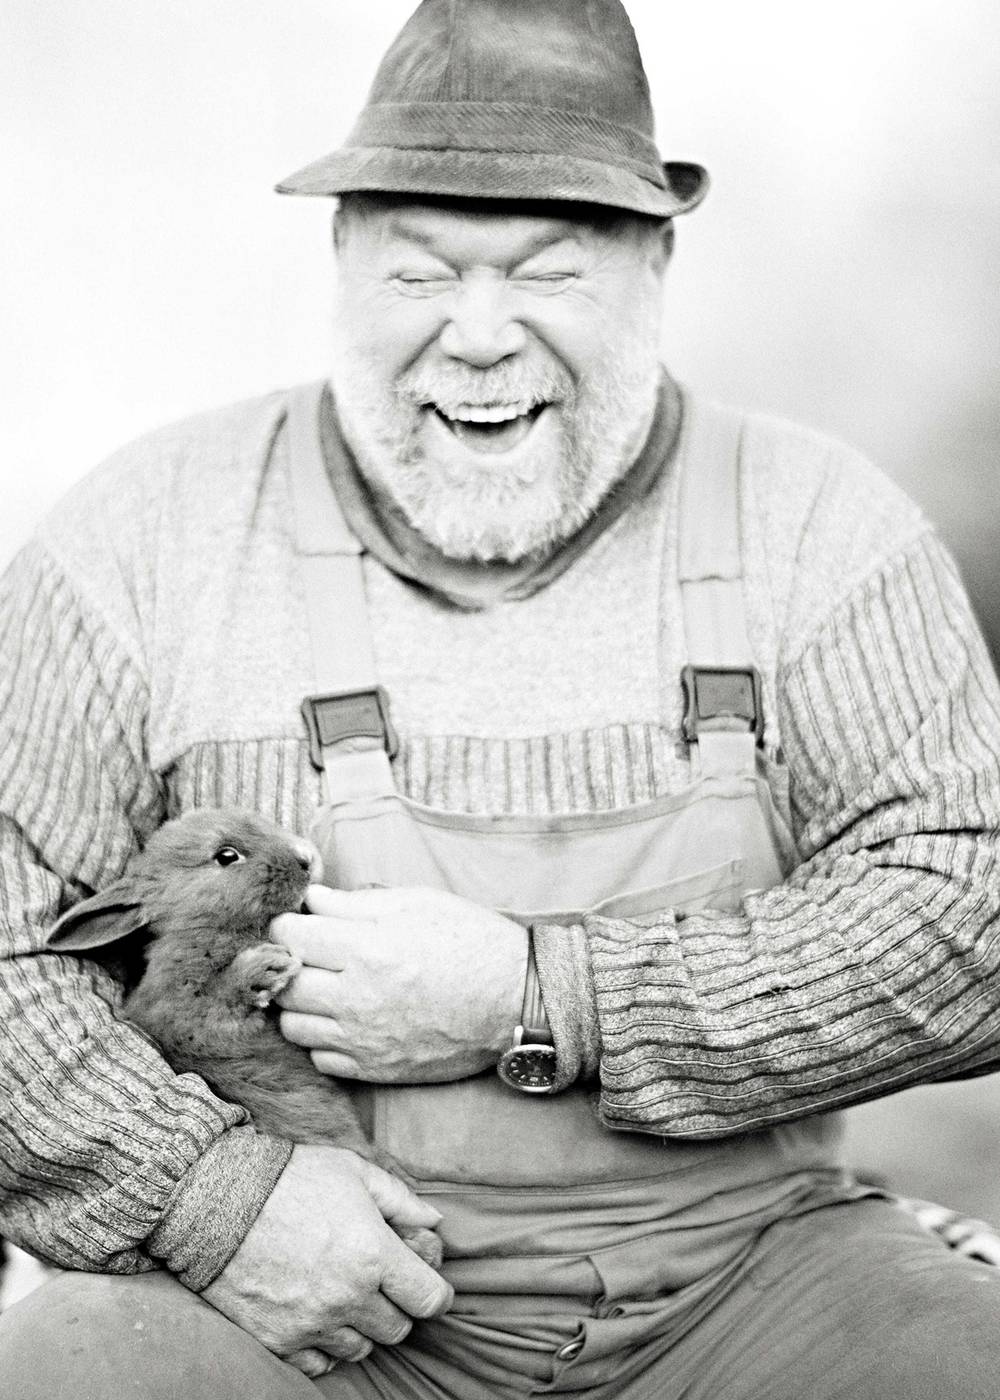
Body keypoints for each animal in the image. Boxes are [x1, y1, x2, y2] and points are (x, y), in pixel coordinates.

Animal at [47, 806, 442, 1268]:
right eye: (226, 856)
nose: (306, 857)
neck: (201, 927)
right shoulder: (194, 1018)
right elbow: (225, 1001)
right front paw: (266, 967)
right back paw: (425, 1244)